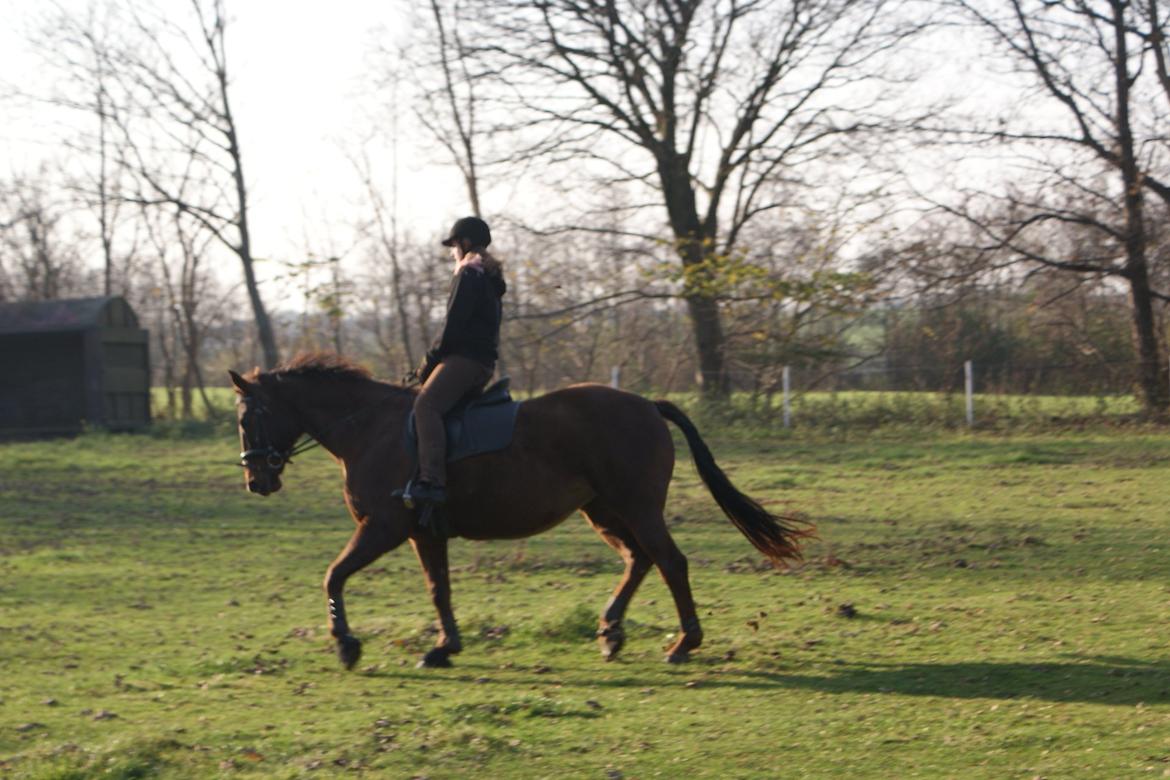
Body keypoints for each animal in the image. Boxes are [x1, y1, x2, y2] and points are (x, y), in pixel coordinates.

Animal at [230, 355, 814, 673]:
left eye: (246, 417)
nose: (257, 481)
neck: (369, 427)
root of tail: (648, 404)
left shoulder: (383, 527)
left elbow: (334, 575)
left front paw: (347, 645)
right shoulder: (423, 532)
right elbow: (438, 589)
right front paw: (444, 648)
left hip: (637, 505)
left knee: (669, 562)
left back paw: (682, 644)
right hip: (604, 510)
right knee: (639, 560)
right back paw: (611, 632)